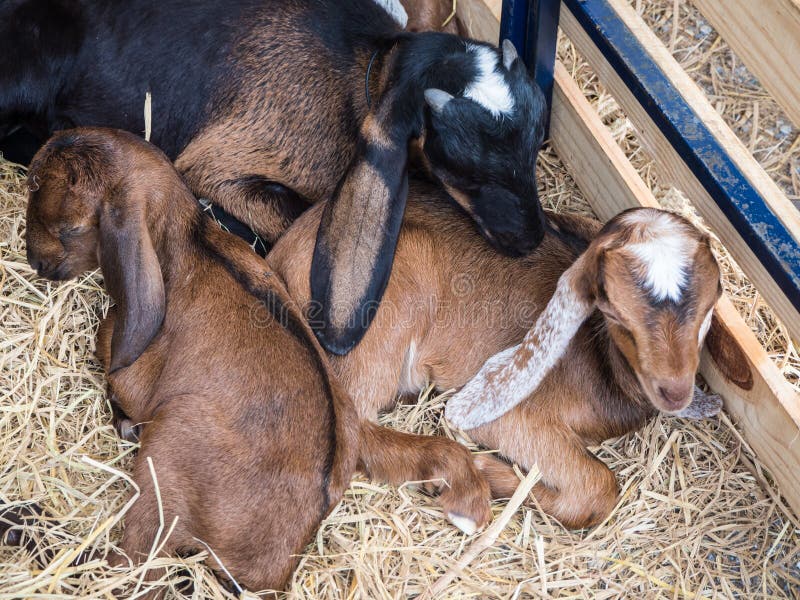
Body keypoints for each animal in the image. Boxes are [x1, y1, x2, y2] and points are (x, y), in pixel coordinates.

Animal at [21, 129, 491, 595]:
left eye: (70, 227)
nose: (37, 262)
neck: (190, 245)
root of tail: (271, 570)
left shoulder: (135, 381)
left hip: (172, 450)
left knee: (131, 570)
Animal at [268, 180, 728, 530]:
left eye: (711, 303)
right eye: (614, 309)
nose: (675, 392)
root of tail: (281, 253)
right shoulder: (515, 418)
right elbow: (598, 487)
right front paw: (491, 472)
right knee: (356, 424)